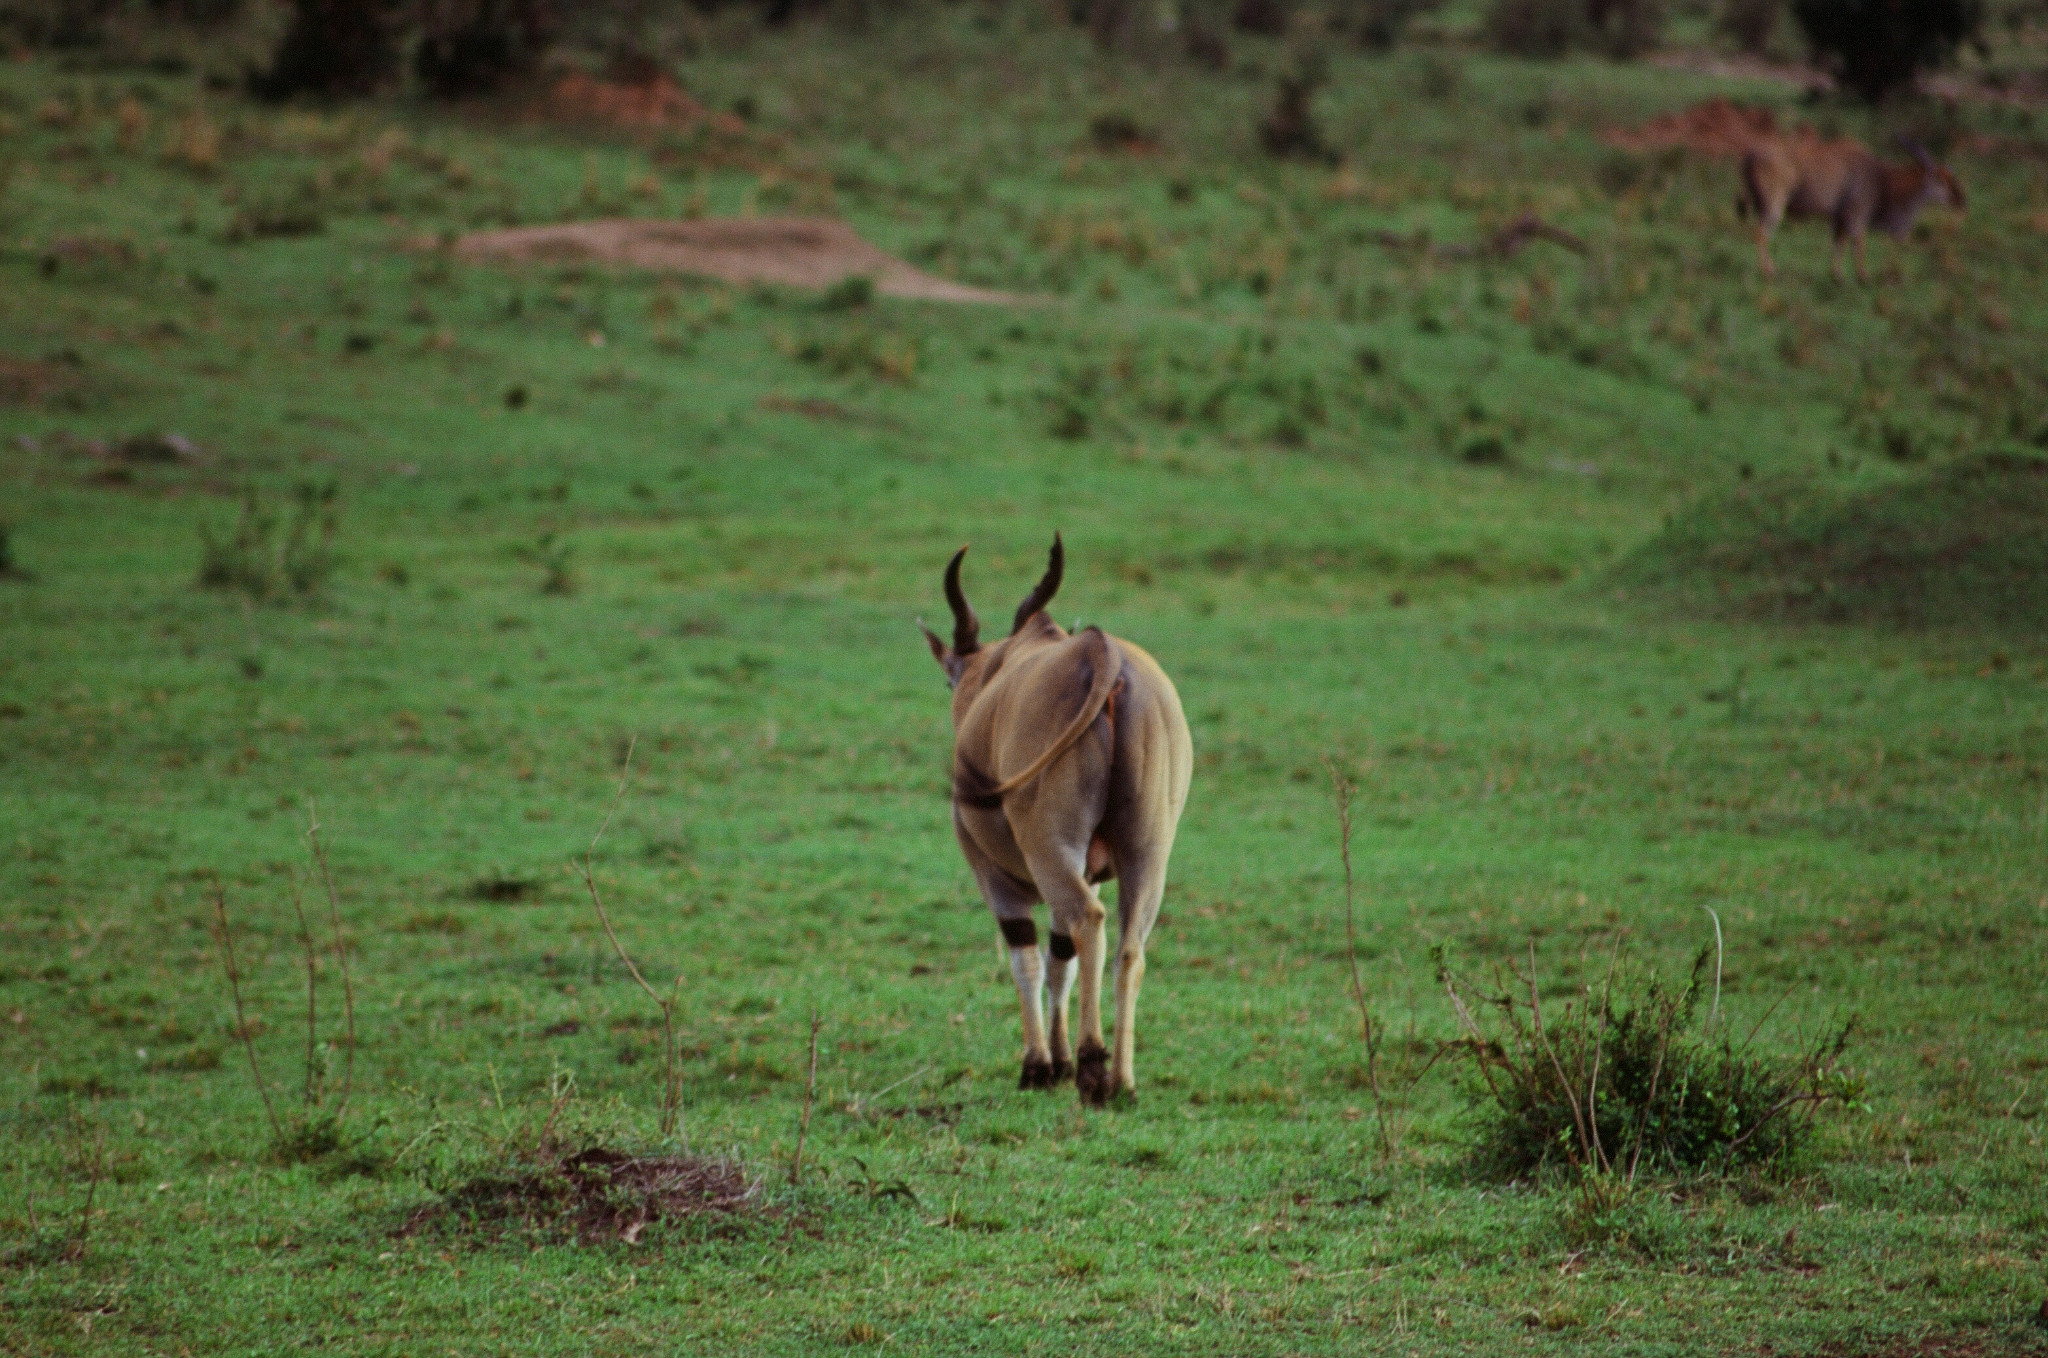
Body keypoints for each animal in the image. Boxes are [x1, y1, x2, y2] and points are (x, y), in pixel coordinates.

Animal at [921, 532, 1196, 1106]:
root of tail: (1101, 652)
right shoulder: (1090, 870)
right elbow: (1058, 961)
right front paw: (1060, 1062)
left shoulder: (995, 876)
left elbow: (1026, 959)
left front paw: (1040, 1066)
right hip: (1146, 856)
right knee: (1129, 947)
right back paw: (1122, 1081)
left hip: (1050, 848)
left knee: (1089, 921)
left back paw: (1093, 1069)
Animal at [1736, 133, 1957, 280]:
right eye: (1940, 180)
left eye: (1950, 177)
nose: (1958, 199)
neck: (1880, 178)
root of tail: (1749, 155)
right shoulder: (1857, 214)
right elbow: (1859, 243)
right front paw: (1863, 277)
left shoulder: (1839, 218)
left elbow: (1839, 243)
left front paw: (1837, 275)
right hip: (1774, 205)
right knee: (1760, 233)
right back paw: (1769, 271)